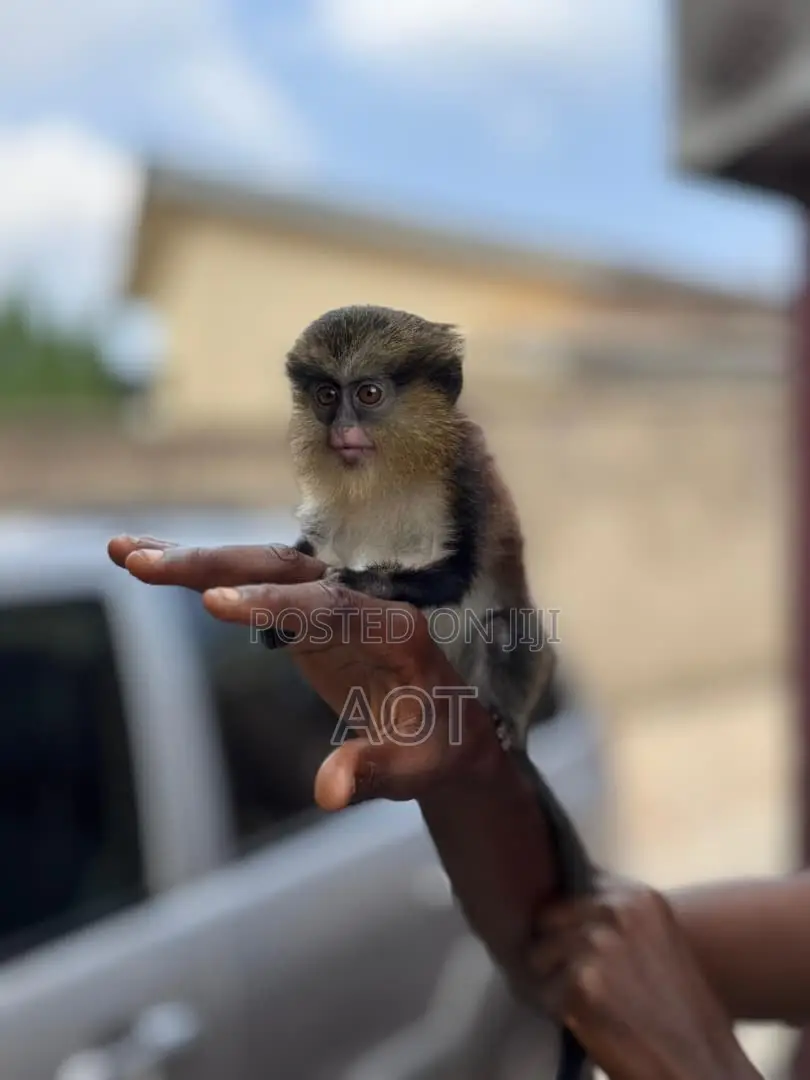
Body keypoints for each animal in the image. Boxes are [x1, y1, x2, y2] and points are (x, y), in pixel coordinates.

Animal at [266, 304, 595, 1080]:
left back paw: (502, 719)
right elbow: (313, 546)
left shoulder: (464, 480)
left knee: (509, 627)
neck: (383, 474)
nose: (340, 430)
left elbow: (451, 574)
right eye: (325, 394)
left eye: (369, 394)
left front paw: (357, 583)